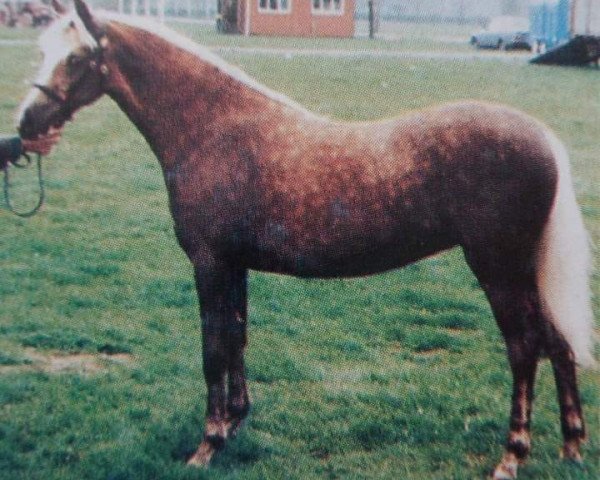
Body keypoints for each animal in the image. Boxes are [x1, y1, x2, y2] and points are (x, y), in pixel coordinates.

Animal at [17, 1, 596, 478]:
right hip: (523, 271)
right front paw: (234, 423)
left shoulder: (209, 263)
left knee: (524, 348)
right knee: (558, 342)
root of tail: (544, 138)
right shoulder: (234, 265)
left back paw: (512, 455)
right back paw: (571, 447)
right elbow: (237, 338)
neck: (214, 129)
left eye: (76, 58)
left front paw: (207, 445)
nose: (26, 125)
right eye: (43, 51)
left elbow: (213, 349)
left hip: (498, 268)